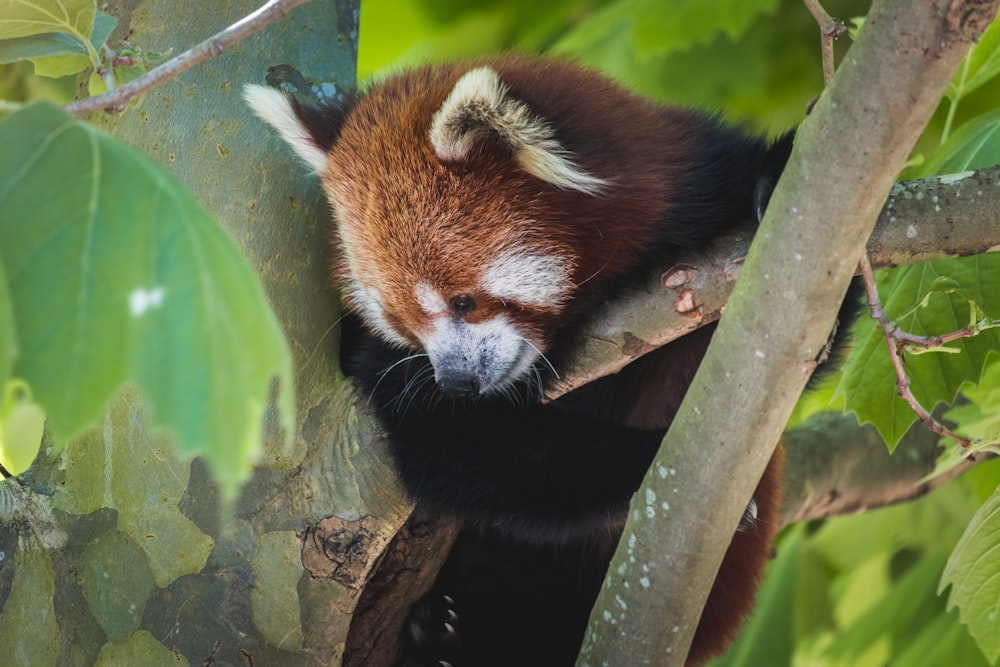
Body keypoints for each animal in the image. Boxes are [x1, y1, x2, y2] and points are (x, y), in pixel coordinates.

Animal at [246, 57, 800, 667]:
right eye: (400, 320)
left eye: (462, 301)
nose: (456, 382)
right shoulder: (388, 367)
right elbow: (455, 446)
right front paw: (649, 463)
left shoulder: (699, 188)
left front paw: (776, 178)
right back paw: (443, 634)